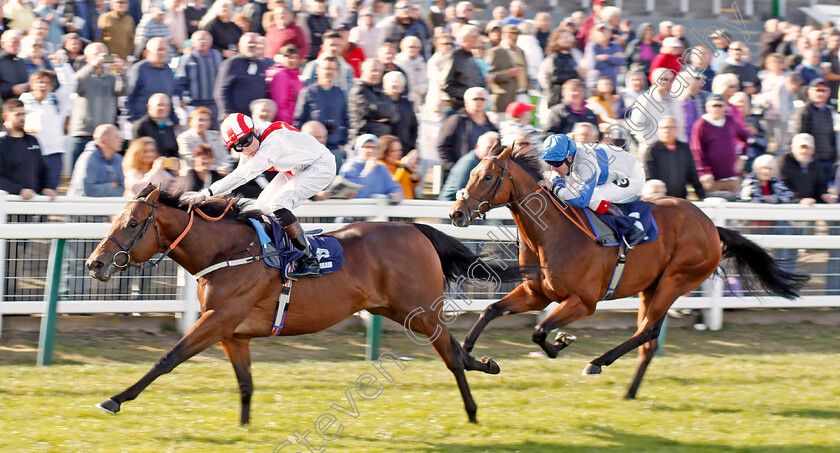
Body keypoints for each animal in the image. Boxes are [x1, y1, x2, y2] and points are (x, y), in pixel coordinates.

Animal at [85, 185, 520, 424]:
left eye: (131, 224)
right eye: (115, 220)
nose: (95, 264)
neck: (227, 251)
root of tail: (414, 228)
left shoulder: (217, 320)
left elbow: (167, 359)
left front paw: (115, 399)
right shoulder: (232, 333)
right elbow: (245, 383)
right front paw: (244, 428)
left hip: (420, 310)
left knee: (451, 355)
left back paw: (472, 409)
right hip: (398, 310)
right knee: (454, 350)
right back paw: (487, 366)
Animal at [446, 145, 808, 400]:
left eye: (488, 177)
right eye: (472, 172)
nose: (456, 213)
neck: (553, 233)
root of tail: (711, 226)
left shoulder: (583, 302)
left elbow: (539, 331)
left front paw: (561, 342)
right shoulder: (537, 294)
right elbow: (491, 310)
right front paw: (470, 355)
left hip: (675, 281)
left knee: (648, 332)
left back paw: (597, 363)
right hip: (651, 287)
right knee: (648, 340)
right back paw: (630, 392)